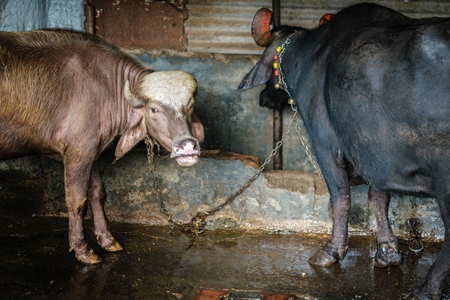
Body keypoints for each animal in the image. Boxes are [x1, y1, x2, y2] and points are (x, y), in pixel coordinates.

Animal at [0, 29, 204, 264]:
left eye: (190, 105)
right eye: (154, 109)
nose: (187, 146)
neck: (105, 87)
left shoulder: (93, 152)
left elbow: (98, 193)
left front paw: (107, 240)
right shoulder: (78, 152)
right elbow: (77, 200)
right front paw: (83, 250)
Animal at [241, 3, 450, 298]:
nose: (263, 98)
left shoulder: (325, 146)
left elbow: (340, 200)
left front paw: (331, 252)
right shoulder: (375, 154)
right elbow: (378, 200)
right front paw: (387, 253)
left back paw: (425, 288)